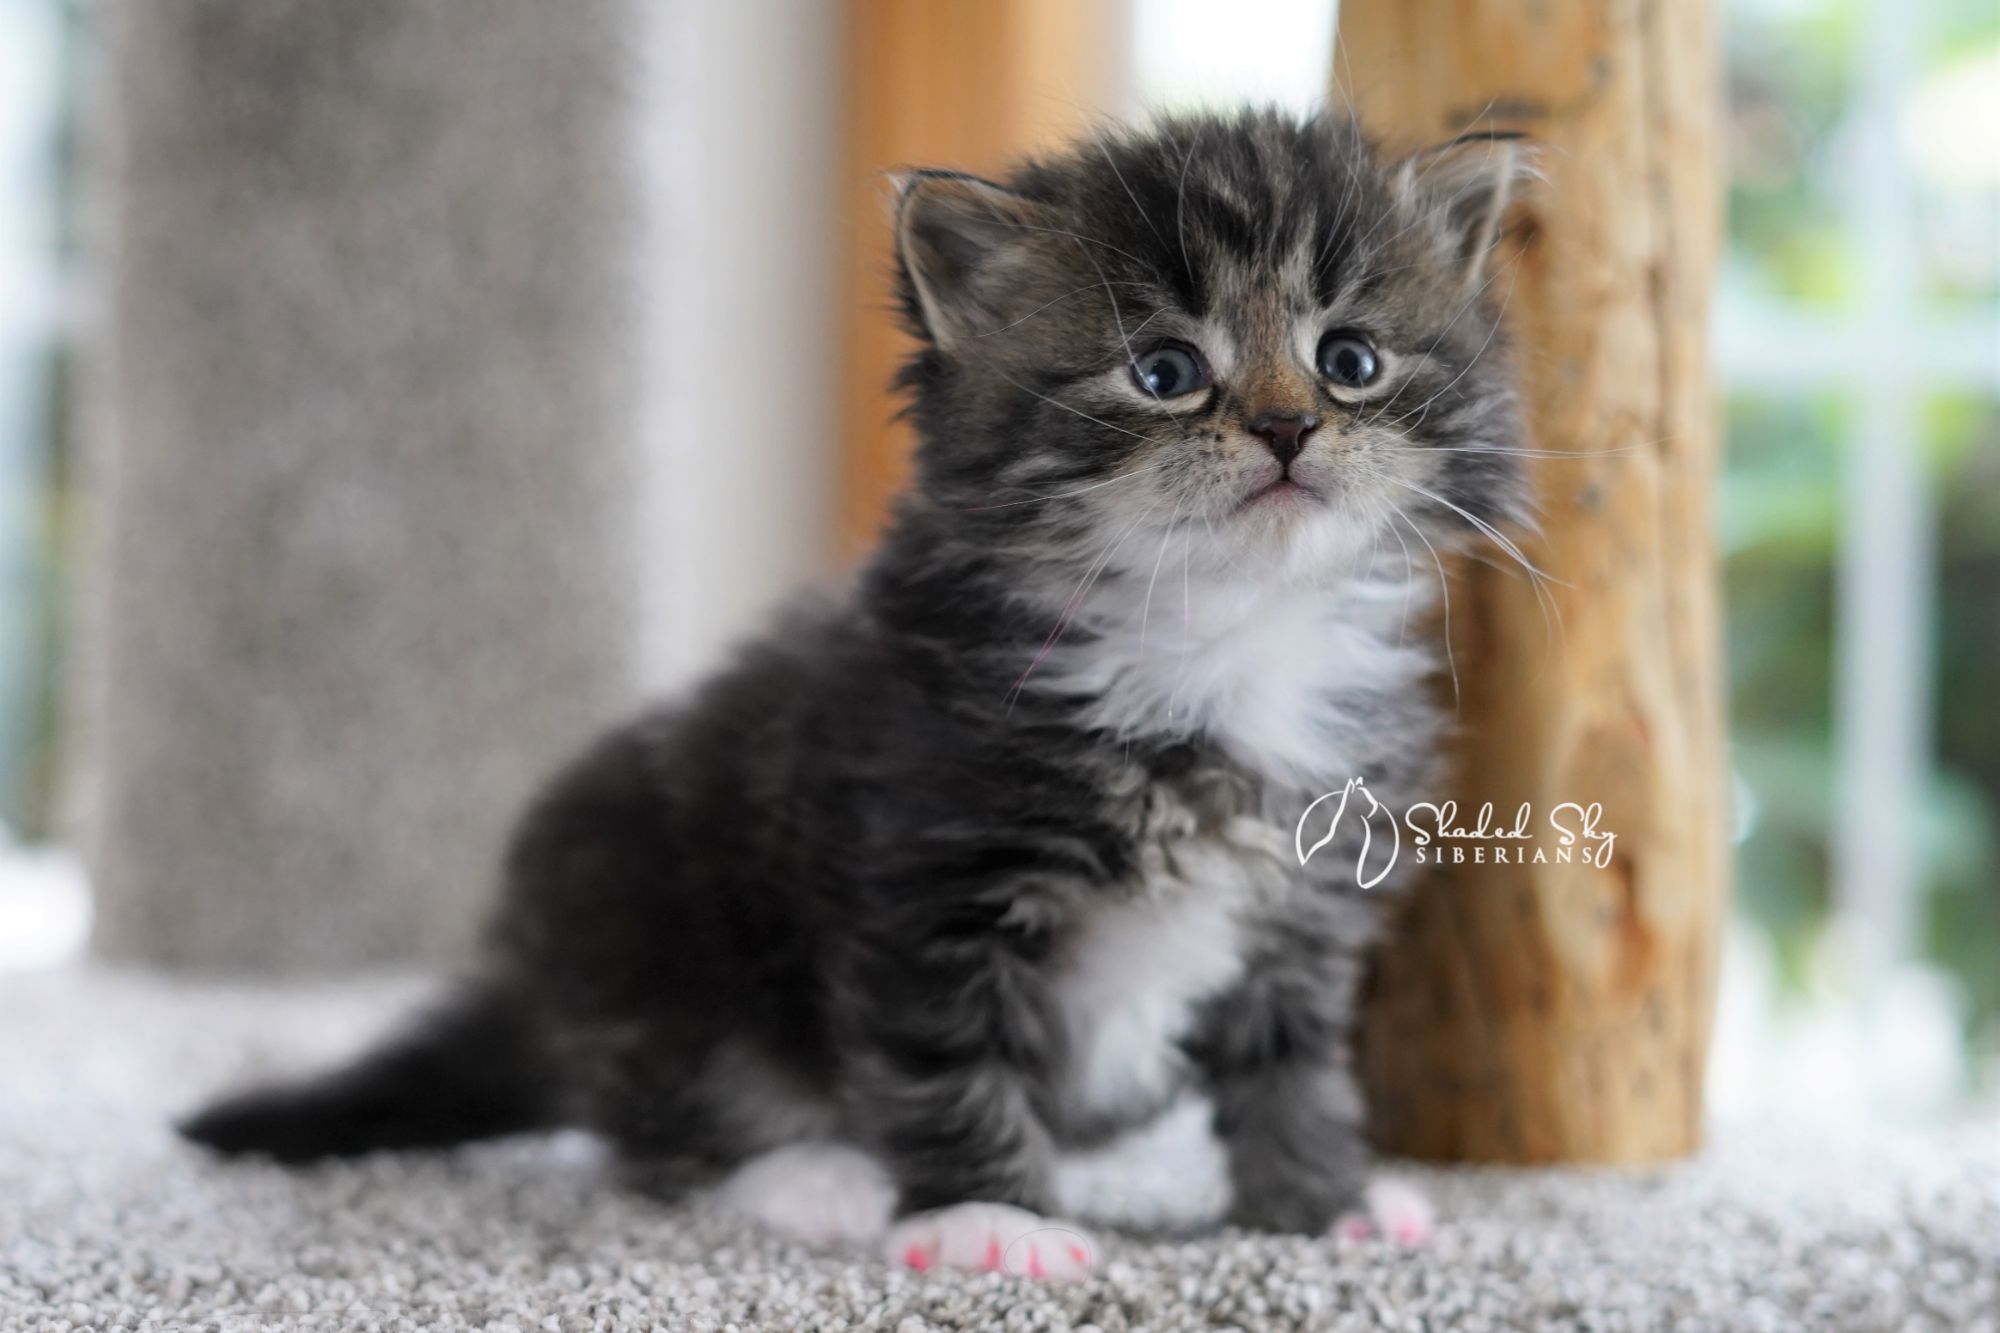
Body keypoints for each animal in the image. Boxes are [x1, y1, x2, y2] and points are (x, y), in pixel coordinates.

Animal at [180, 108, 1534, 1281]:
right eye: (1162, 370)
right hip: (638, 902)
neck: (1215, 639)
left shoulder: (1304, 904)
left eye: (1347, 359)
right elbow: (946, 1059)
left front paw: (1321, 1204)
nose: (1285, 429)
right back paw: (812, 1177)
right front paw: (989, 1215)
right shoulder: (923, 875)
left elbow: (1293, 1067)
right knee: (666, 1123)